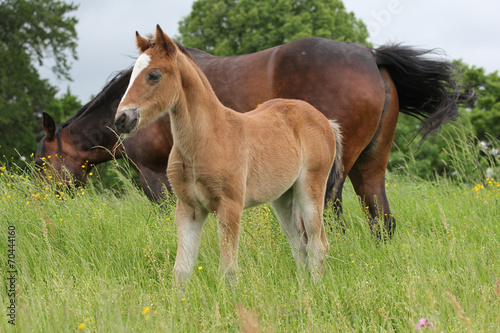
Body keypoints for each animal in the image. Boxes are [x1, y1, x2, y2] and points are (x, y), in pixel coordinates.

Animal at [34, 36, 468, 235]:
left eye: (41, 163)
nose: (40, 205)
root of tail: (371, 56)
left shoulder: (154, 176)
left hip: (330, 174)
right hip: (370, 168)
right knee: (381, 221)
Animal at [114, 24, 342, 282]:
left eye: (154, 75)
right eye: (131, 76)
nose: (122, 119)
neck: (206, 139)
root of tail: (325, 120)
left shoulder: (230, 207)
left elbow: (228, 269)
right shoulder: (189, 209)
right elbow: (181, 271)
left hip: (311, 187)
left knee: (317, 244)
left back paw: (317, 287)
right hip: (283, 196)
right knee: (299, 246)